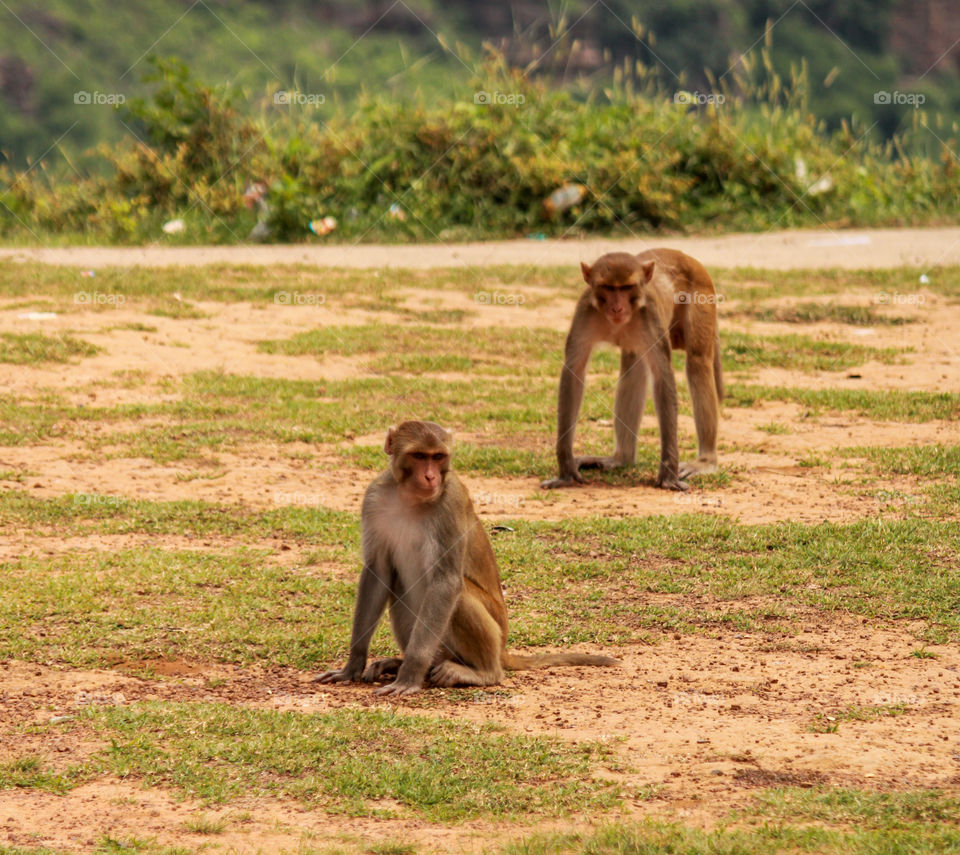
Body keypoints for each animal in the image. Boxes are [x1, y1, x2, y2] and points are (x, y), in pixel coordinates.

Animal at [316, 422, 616, 696]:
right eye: (419, 456)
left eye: (438, 457)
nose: (430, 477)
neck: (411, 499)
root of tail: (502, 651)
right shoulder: (374, 497)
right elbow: (377, 573)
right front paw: (352, 665)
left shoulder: (452, 502)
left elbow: (446, 582)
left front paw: (410, 675)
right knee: (400, 586)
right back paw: (399, 663)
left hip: (489, 634)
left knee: (458, 594)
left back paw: (482, 673)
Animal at [540, 247, 720, 492]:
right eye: (608, 287)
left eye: (627, 287)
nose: (617, 307)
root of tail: (683, 255)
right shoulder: (585, 311)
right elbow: (574, 371)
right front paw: (566, 469)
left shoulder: (649, 316)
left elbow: (662, 376)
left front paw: (668, 473)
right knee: (633, 367)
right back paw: (621, 458)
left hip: (702, 295)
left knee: (697, 362)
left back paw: (705, 461)